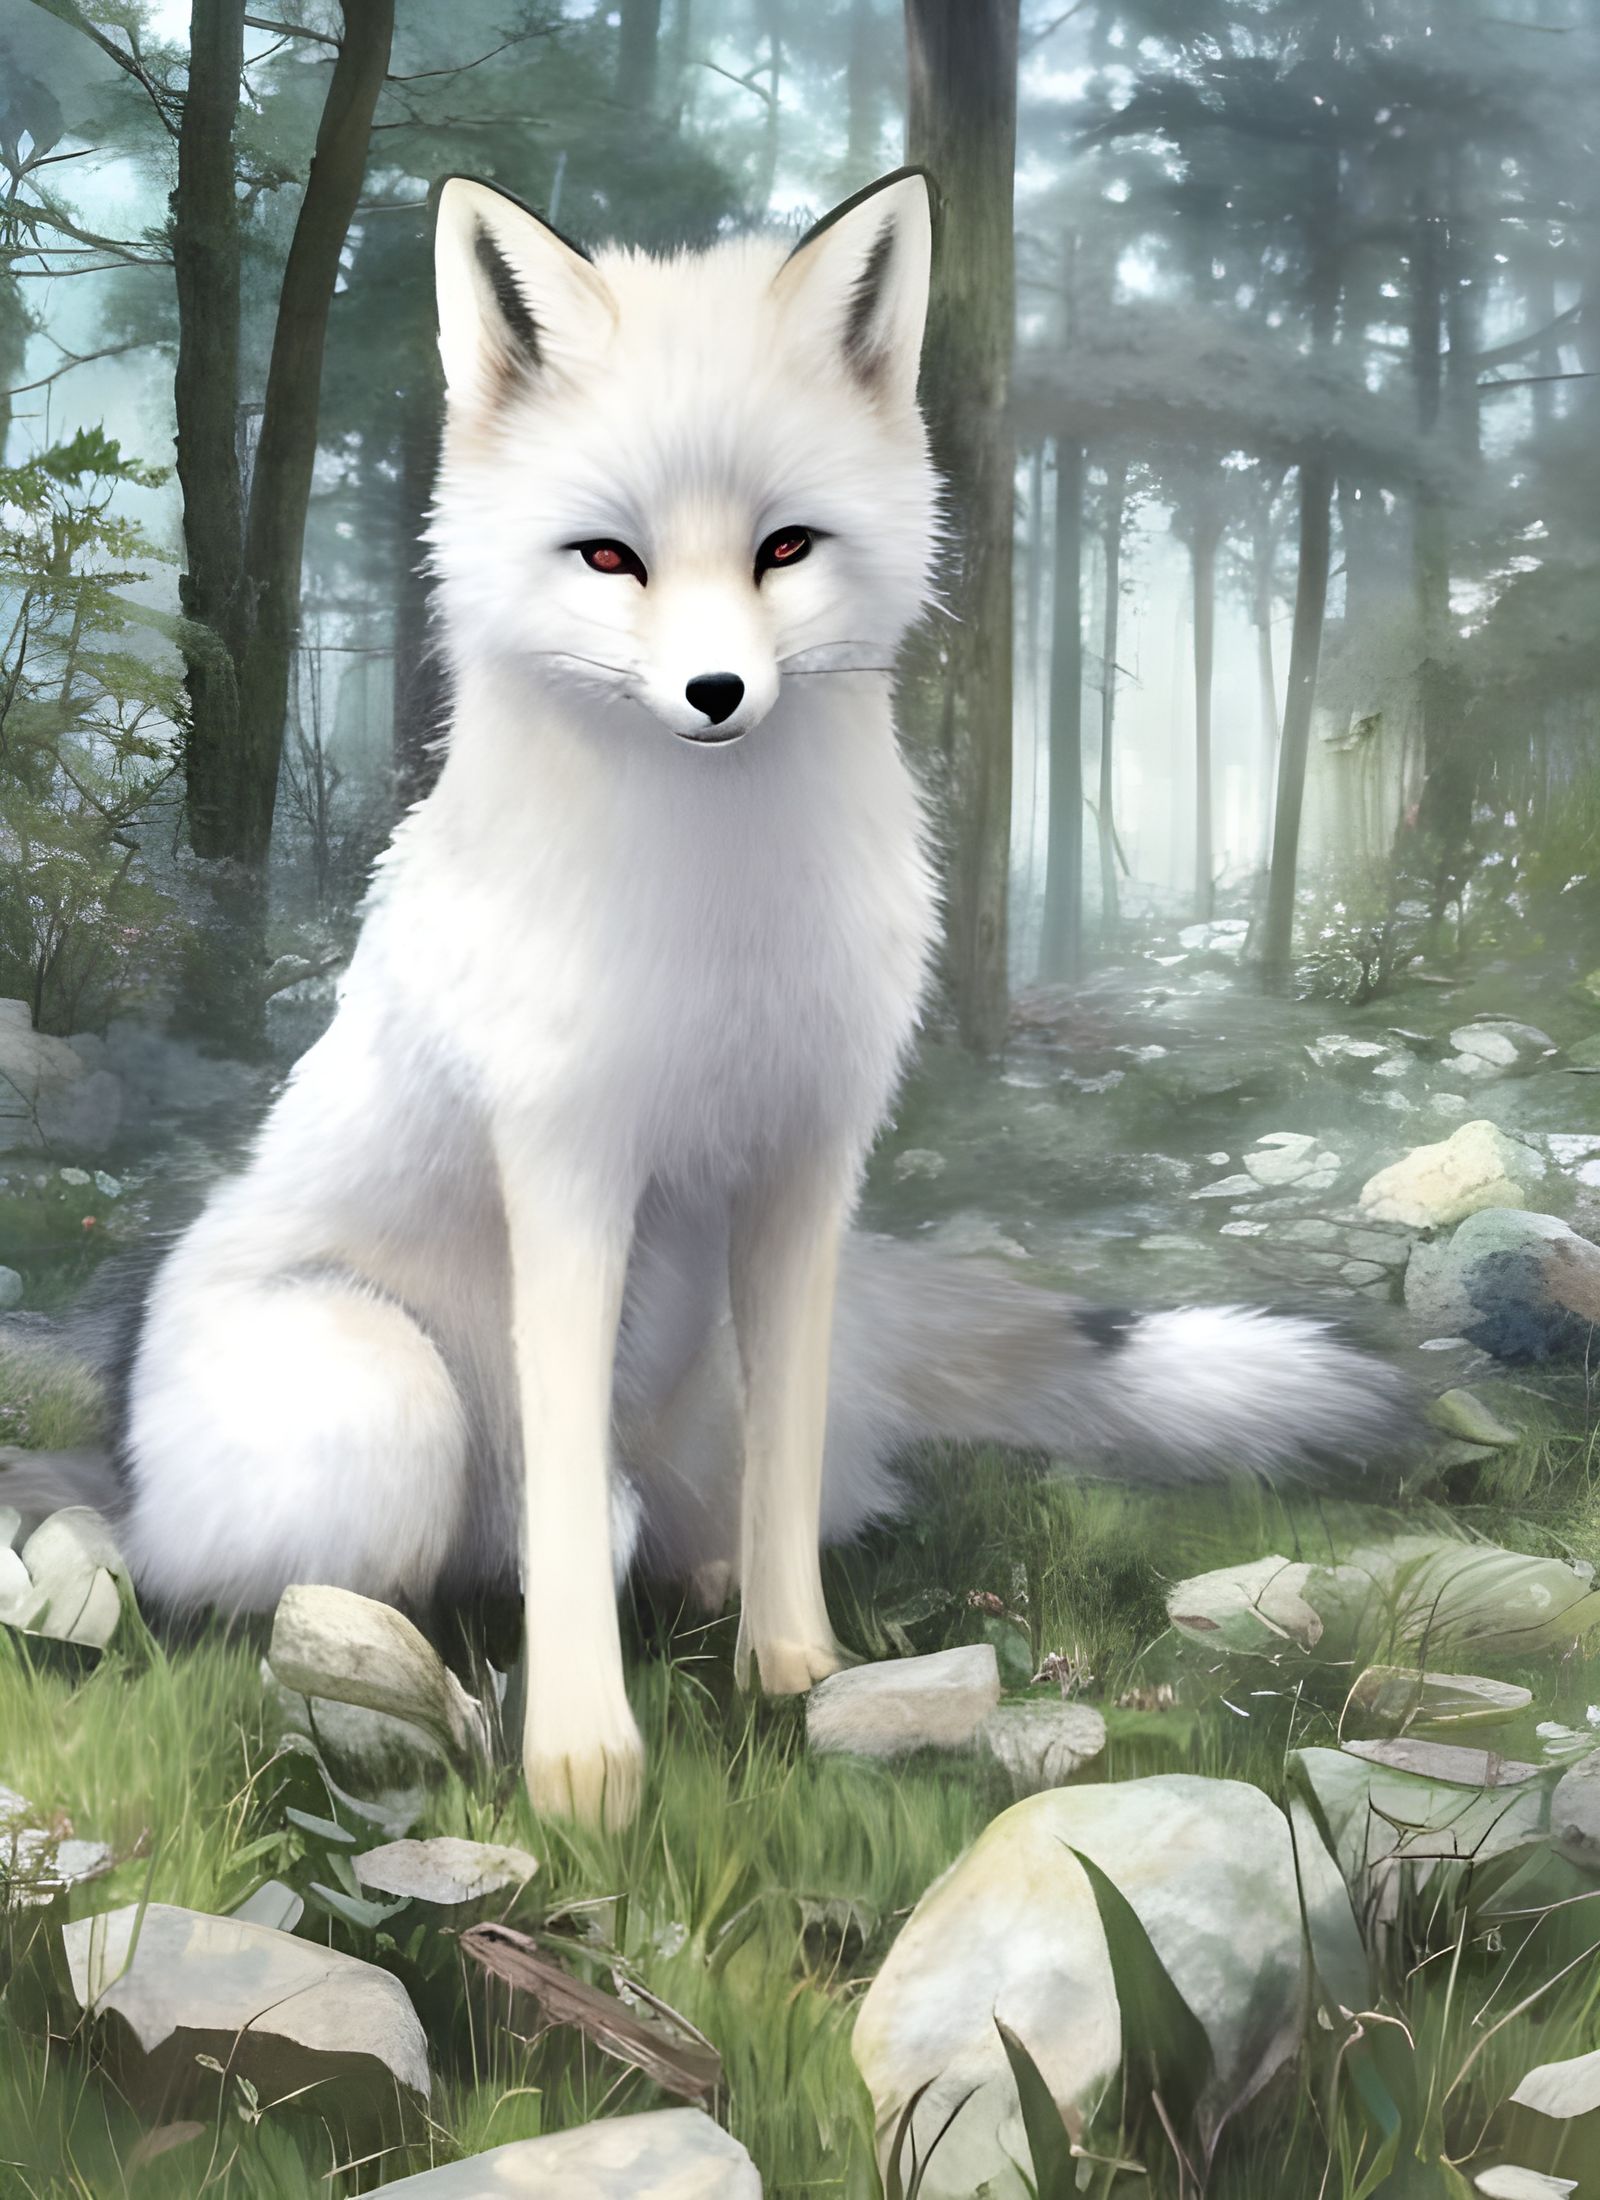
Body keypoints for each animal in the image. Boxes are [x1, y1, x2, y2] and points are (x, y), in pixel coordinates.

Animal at [64, 169, 1403, 1830]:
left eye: (784, 548)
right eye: (609, 559)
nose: (717, 696)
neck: (722, 942)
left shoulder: (807, 1166)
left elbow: (777, 1479)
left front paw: (795, 1669)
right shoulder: (567, 1167)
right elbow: (569, 1511)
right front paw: (581, 1764)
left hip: (682, 1381)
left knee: (688, 1507)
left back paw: (692, 1591)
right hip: (386, 1407)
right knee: (368, 1573)